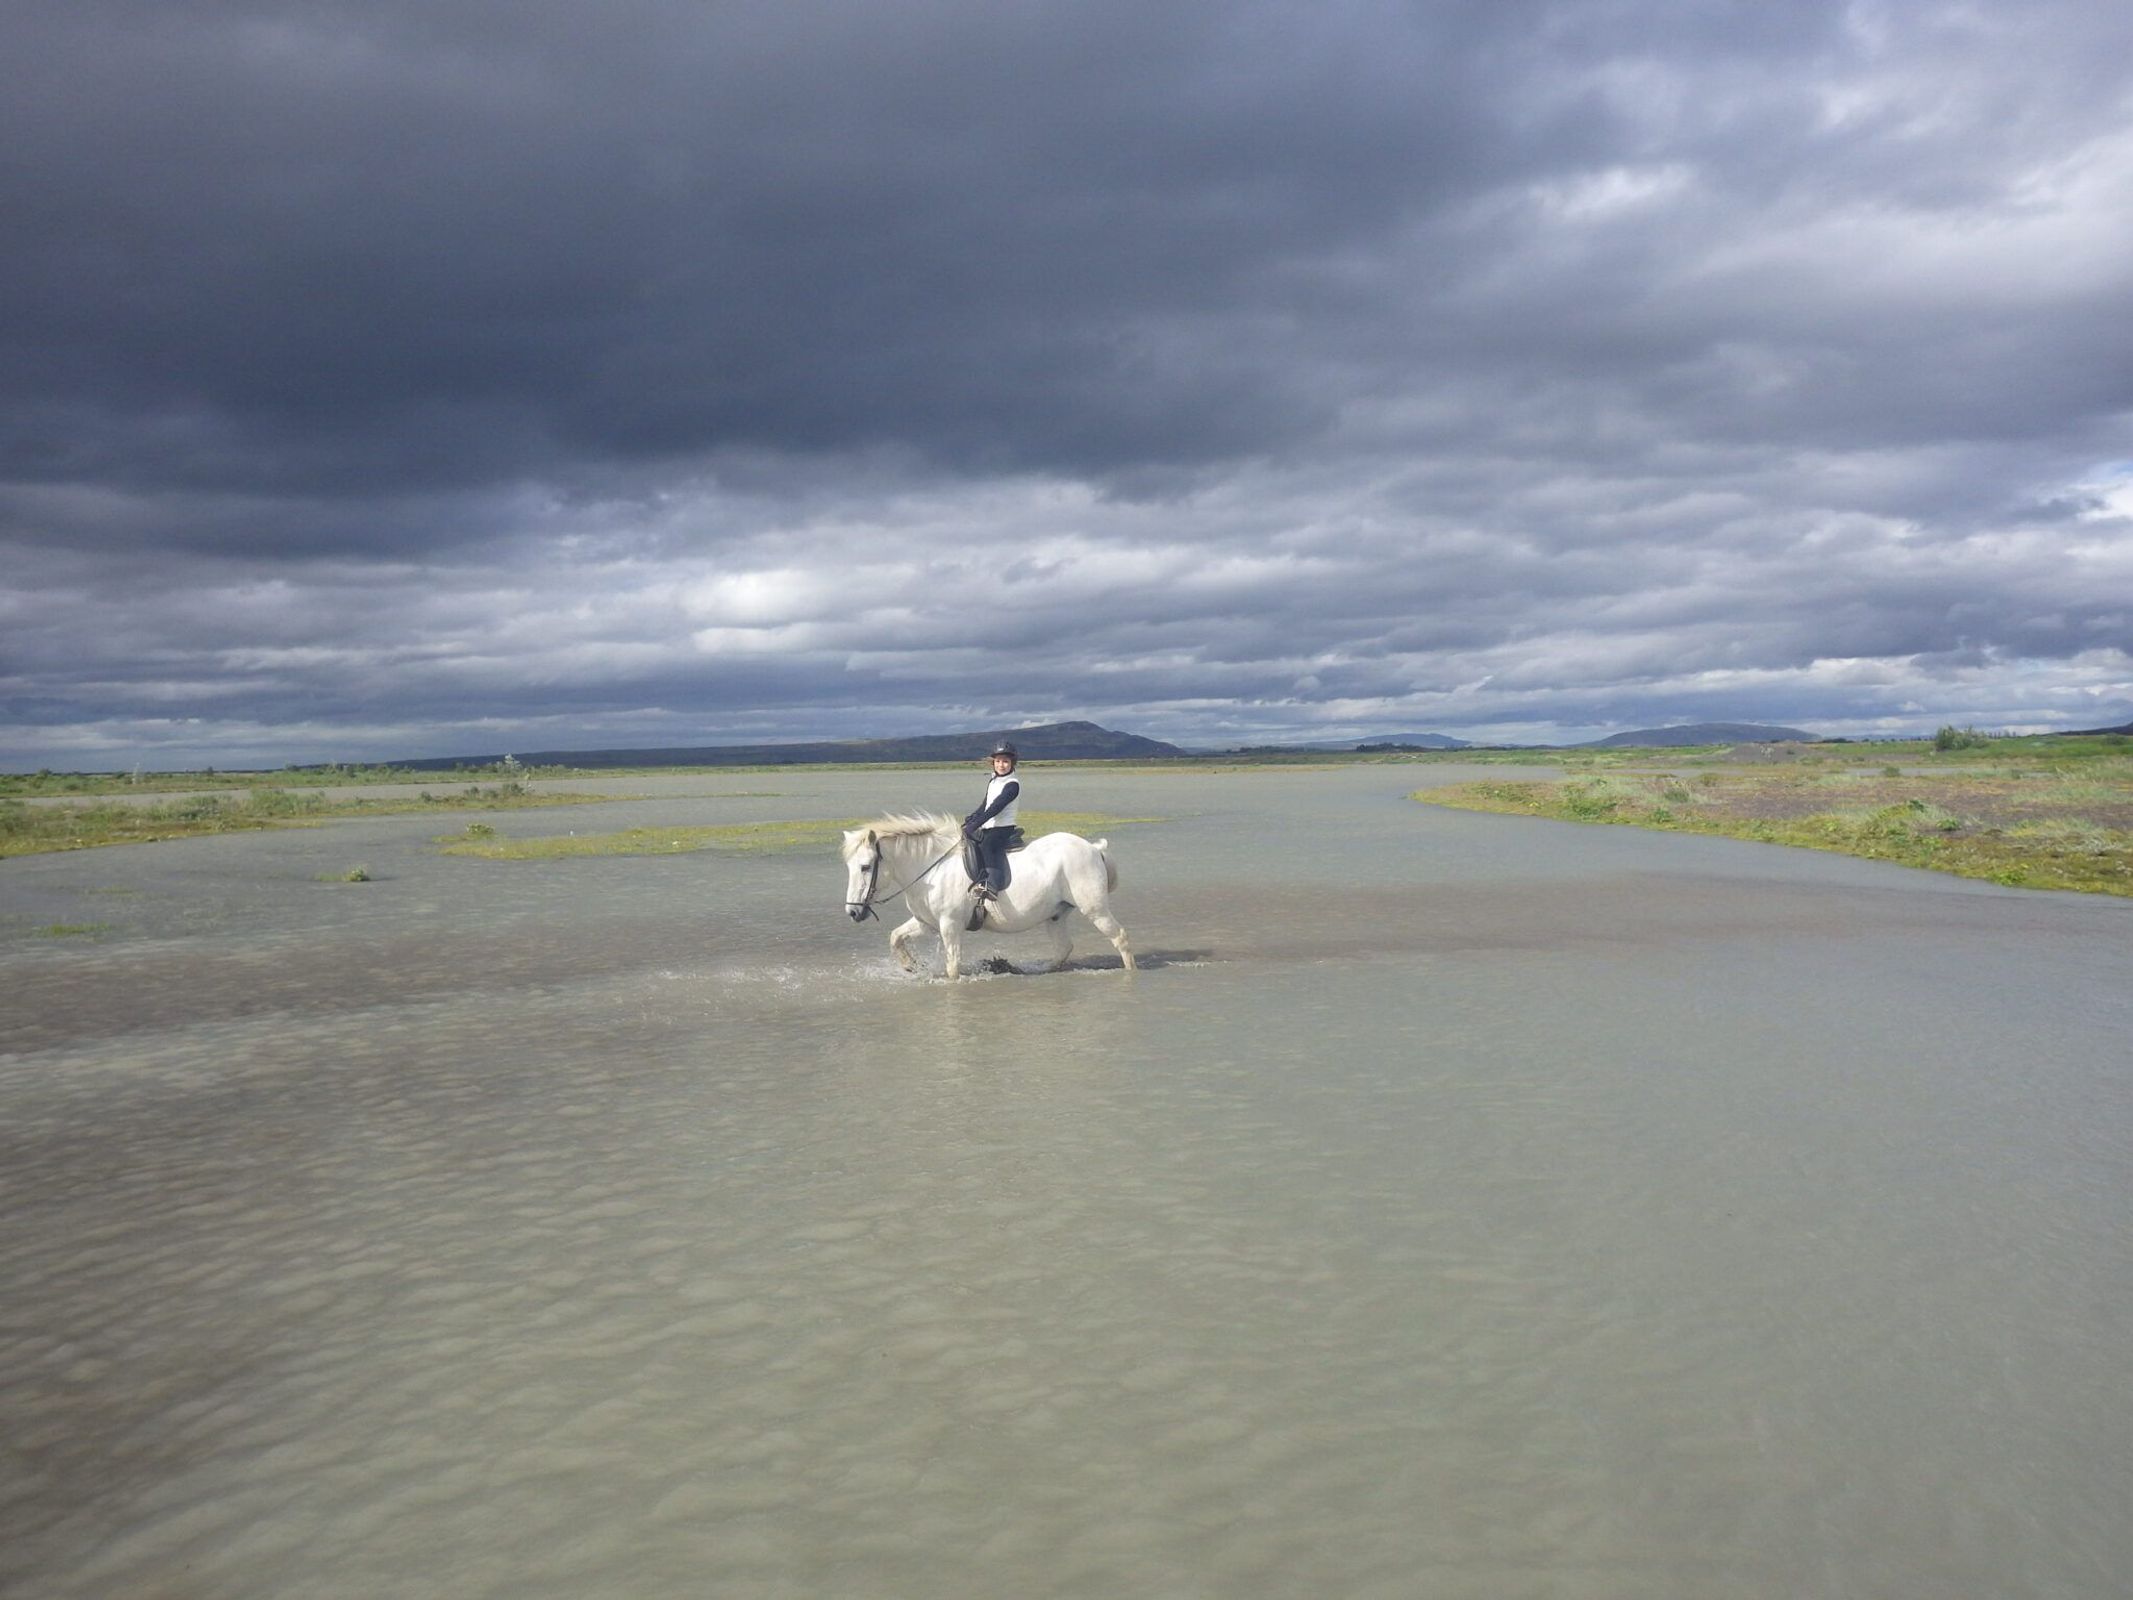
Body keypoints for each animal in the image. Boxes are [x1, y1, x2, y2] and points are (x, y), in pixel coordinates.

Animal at [842, 813, 1135, 979]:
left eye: (865, 867)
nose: (853, 912)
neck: (931, 868)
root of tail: (1093, 848)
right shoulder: (927, 924)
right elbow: (895, 938)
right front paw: (911, 966)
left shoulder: (950, 925)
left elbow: (953, 967)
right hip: (1055, 915)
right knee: (1064, 948)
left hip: (1094, 909)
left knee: (1120, 937)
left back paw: (1130, 973)